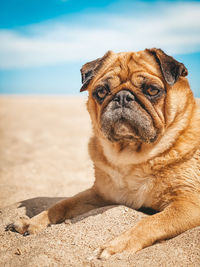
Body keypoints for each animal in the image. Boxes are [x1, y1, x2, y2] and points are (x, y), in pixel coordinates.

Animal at [5, 48, 200, 260]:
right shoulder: (99, 194)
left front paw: (118, 246)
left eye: (152, 90)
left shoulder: (188, 204)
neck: (133, 157)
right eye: (101, 92)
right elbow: (62, 205)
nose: (123, 97)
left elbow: (150, 222)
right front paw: (32, 222)